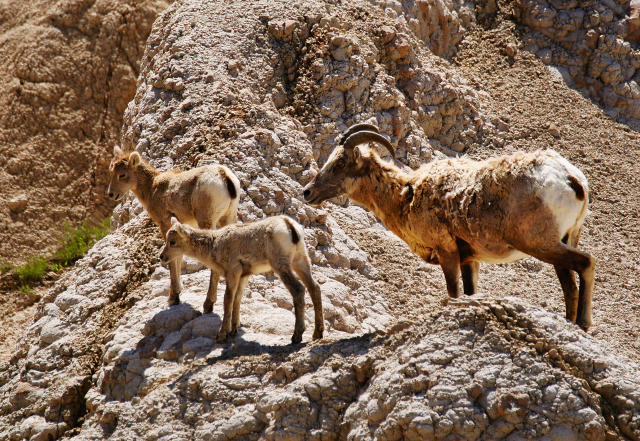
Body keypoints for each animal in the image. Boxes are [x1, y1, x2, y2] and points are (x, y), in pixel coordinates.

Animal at [107, 148, 240, 310]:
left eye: (122, 174)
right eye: (111, 171)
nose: (111, 194)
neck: (152, 187)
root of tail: (224, 176)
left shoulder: (165, 224)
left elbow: (172, 259)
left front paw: (174, 297)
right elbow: (179, 255)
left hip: (207, 220)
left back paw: (208, 304)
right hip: (228, 217)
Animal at [158, 215, 322, 342]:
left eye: (172, 242)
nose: (162, 257)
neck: (214, 246)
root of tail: (290, 227)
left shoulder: (233, 272)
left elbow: (227, 300)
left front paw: (222, 335)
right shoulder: (244, 275)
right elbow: (237, 298)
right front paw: (233, 329)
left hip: (281, 265)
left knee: (299, 290)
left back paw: (297, 336)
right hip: (300, 260)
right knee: (314, 287)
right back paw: (317, 333)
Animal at [302, 124, 596, 330]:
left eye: (340, 163)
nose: (308, 192)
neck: (406, 196)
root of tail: (571, 179)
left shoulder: (447, 251)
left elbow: (453, 293)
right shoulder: (469, 260)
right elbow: (470, 293)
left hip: (541, 244)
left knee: (586, 263)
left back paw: (583, 324)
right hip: (563, 241)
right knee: (569, 285)